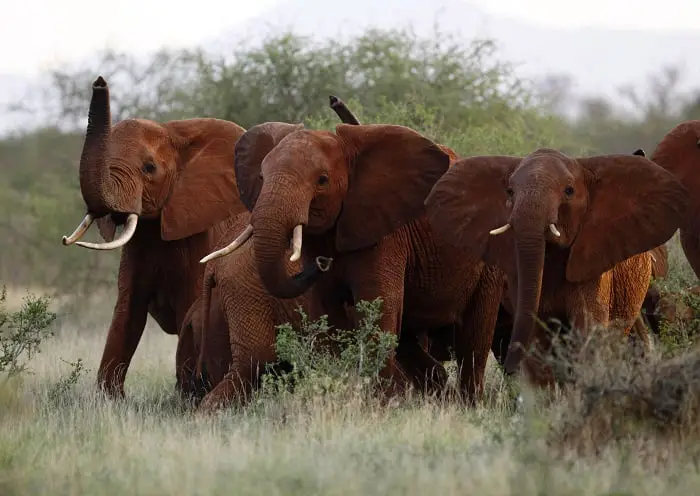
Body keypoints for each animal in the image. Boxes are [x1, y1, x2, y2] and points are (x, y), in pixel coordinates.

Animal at [59, 76, 250, 398]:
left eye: (149, 168)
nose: (99, 81)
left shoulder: (199, 236)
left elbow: (190, 308)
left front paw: (185, 395)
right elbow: (127, 312)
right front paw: (110, 400)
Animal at [199, 121, 506, 402]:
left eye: (322, 180)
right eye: (262, 177)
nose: (321, 264)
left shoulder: (385, 233)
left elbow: (378, 309)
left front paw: (383, 406)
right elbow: (329, 315)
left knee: (475, 339)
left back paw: (468, 403)